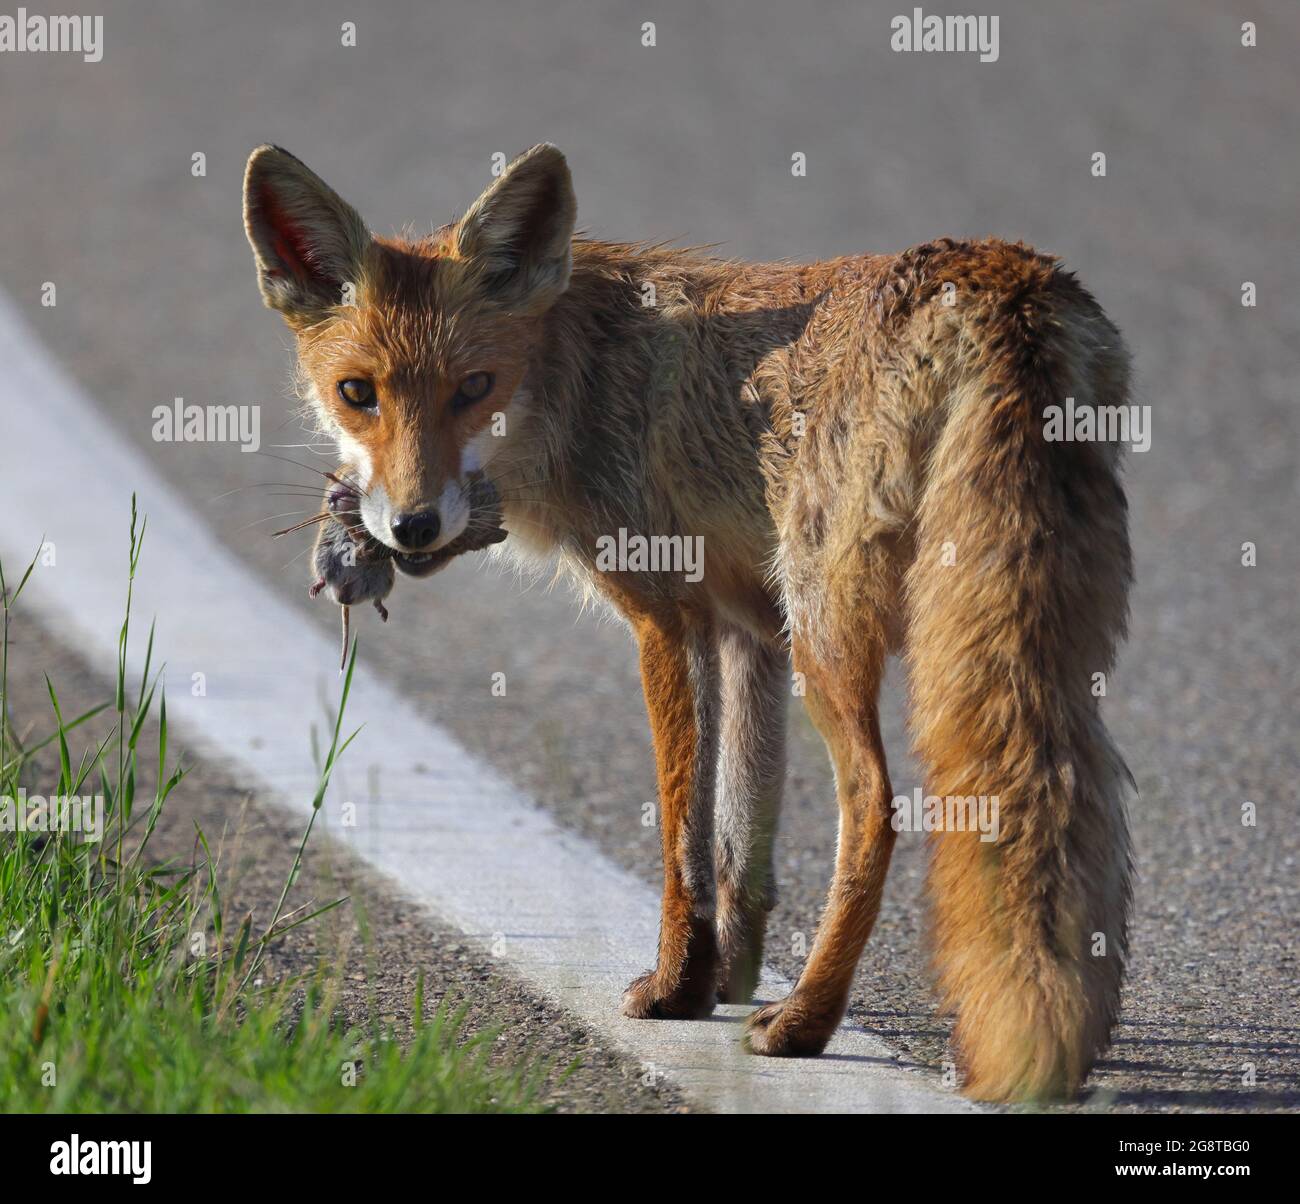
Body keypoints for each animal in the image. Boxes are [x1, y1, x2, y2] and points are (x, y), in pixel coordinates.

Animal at [245, 141, 1138, 1102]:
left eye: (474, 388)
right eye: (357, 393)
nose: (411, 526)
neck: (581, 376)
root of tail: (1002, 278)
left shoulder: (667, 616)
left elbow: (683, 829)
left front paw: (675, 990)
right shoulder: (750, 630)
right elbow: (742, 839)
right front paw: (723, 980)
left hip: (832, 631)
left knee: (877, 807)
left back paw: (806, 1022)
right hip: (1034, 643)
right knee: (1069, 798)